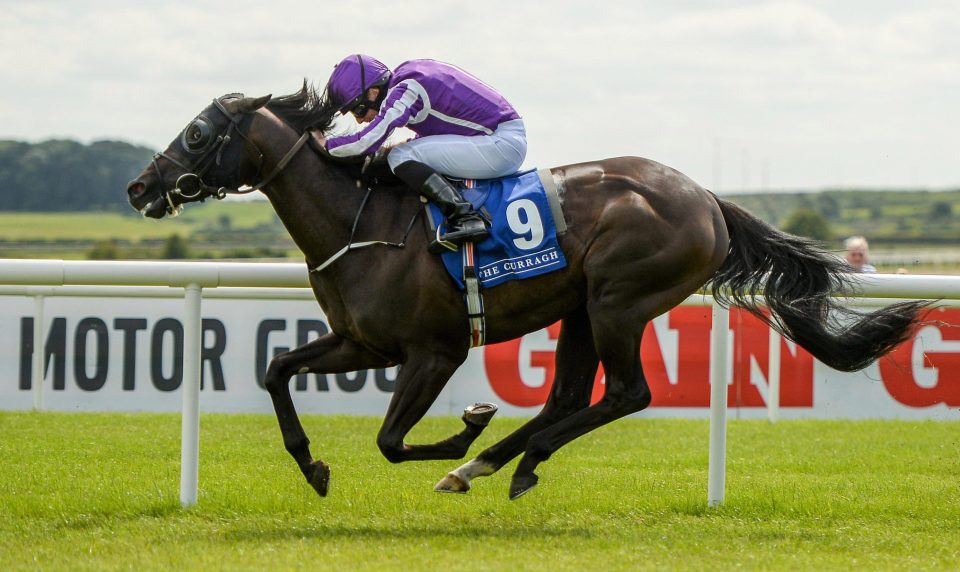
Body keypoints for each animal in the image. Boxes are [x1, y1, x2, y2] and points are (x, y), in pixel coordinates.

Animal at [124, 87, 928, 498]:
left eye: (197, 133)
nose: (139, 187)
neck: (362, 221)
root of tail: (705, 198)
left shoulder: (434, 351)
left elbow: (390, 441)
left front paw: (465, 428)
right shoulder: (361, 340)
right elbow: (276, 370)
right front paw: (314, 466)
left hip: (618, 300)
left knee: (625, 393)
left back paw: (499, 459)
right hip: (581, 308)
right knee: (569, 396)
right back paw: (498, 462)